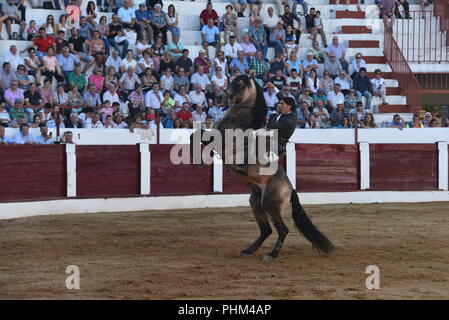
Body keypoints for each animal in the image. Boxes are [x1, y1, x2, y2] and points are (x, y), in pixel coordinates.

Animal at [189, 75, 332, 260]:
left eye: (239, 83)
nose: (219, 98)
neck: (239, 120)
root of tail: (291, 189)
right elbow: (195, 135)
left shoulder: (220, 141)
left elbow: (197, 135)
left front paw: (200, 159)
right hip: (256, 202)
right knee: (266, 230)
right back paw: (248, 250)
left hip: (270, 205)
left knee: (282, 230)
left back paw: (271, 254)